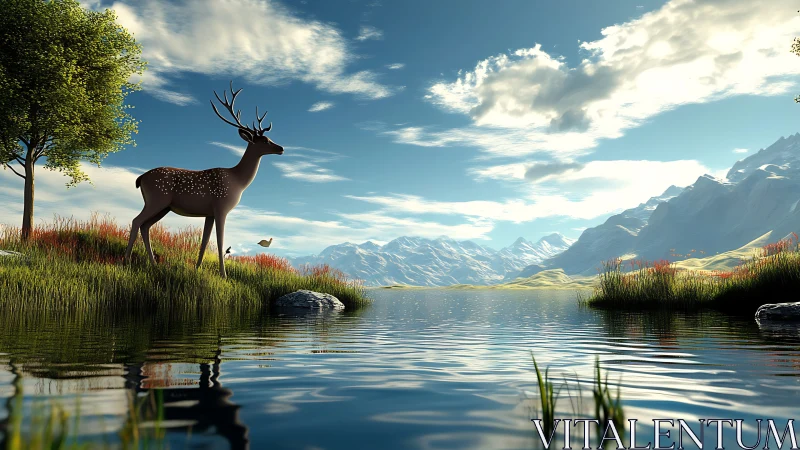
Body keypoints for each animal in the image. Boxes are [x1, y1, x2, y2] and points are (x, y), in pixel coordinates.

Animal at [124, 82, 284, 278]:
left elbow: (204, 241)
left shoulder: (209, 213)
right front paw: (223, 275)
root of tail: (140, 178)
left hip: (163, 207)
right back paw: (126, 260)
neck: (238, 181)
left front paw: (197, 268)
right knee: (136, 221)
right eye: (266, 140)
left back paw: (153, 263)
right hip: (157, 199)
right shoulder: (221, 207)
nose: (281, 148)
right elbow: (220, 241)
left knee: (145, 226)